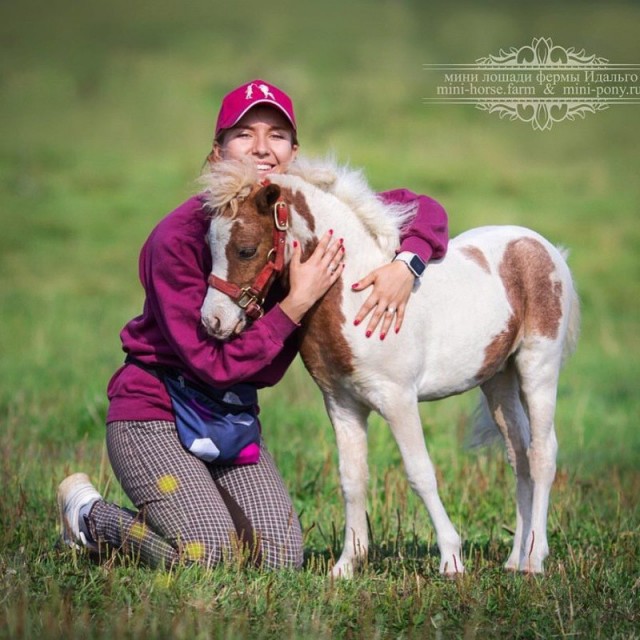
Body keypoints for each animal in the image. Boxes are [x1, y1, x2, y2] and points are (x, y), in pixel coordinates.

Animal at [198, 157, 580, 577]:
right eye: (209, 249)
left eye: (246, 249)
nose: (212, 321)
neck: (357, 295)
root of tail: (544, 248)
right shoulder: (342, 404)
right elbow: (352, 479)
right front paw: (346, 565)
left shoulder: (399, 399)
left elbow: (420, 473)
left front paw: (451, 560)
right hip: (498, 379)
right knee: (519, 456)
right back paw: (515, 559)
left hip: (537, 367)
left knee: (543, 454)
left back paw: (535, 560)